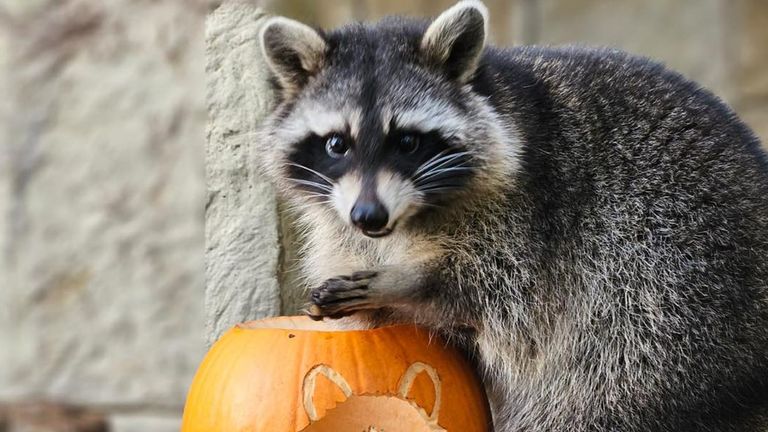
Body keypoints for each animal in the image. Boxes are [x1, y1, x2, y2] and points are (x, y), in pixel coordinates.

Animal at [256, 1, 768, 430]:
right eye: (336, 144)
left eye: (407, 141)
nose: (369, 216)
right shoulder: (343, 226)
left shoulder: (534, 214)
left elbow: (494, 291)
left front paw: (405, 282)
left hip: (669, 290)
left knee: (597, 390)